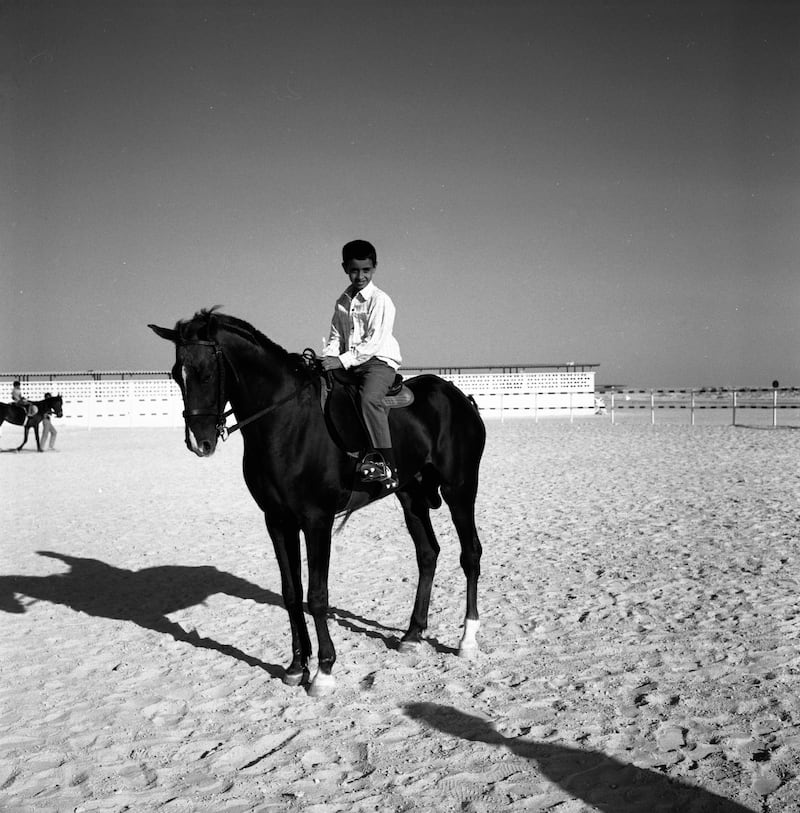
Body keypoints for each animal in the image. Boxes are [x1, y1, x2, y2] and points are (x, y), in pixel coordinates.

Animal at [152, 308, 488, 696]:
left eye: (207, 373)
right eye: (176, 375)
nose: (199, 442)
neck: (285, 422)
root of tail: (458, 396)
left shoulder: (317, 520)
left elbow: (316, 595)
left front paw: (324, 670)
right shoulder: (277, 521)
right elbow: (291, 593)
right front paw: (297, 666)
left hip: (459, 489)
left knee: (470, 554)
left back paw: (468, 640)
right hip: (411, 496)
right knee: (428, 554)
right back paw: (413, 634)